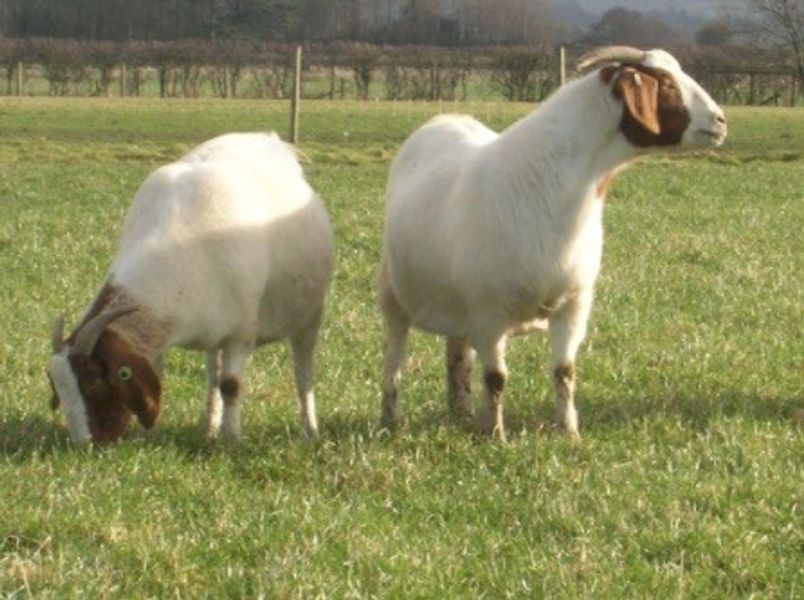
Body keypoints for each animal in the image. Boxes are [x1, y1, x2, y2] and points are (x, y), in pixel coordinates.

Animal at [49, 134, 332, 442]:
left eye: (93, 385)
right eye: (58, 391)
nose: (85, 444)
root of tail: (267, 138)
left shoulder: (241, 333)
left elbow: (232, 385)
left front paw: (233, 439)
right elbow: (166, 380)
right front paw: (151, 436)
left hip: (309, 316)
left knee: (302, 370)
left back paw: (310, 429)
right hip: (217, 332)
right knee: (213, 376)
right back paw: (209, 427)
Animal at [378, 47, 728, 440]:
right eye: (665, 83)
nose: (720, 120)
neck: (554, 186)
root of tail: (444, 118)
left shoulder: (573, 305)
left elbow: (565, 372)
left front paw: (568, 432)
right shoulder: (489, 314)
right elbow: (496, 378)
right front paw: (497, 437)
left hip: (459, 306)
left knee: (456, 353)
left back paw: (462, 412)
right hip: (394, 296)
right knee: (394, 358)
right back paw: (390, 418)